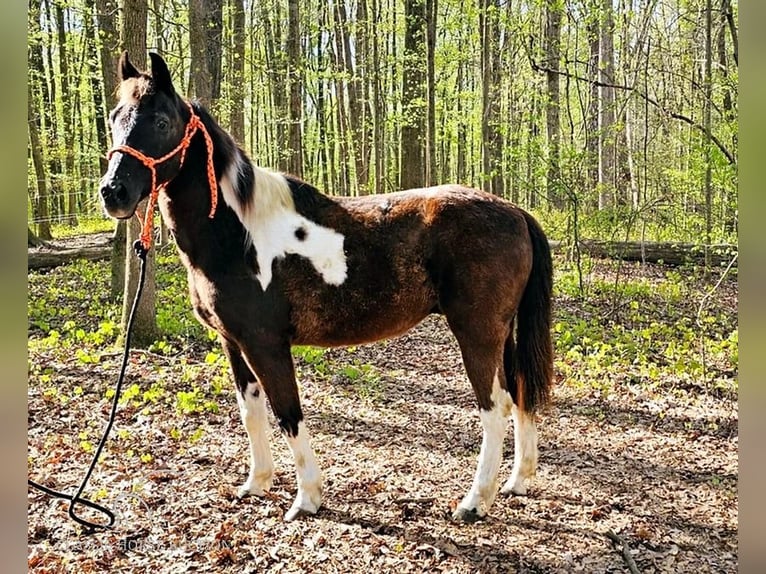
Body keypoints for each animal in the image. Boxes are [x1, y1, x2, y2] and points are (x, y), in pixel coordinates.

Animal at [102, 51, 556, 524]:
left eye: (160, 121)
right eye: (115, 117)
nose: (113, 192)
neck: (239, 234)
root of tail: (515, 212)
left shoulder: (265, 344)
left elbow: (288, 413)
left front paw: (307, 499)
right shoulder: (233, 342)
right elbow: (251, 411)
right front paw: (256, 483)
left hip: (477, 334)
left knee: (494, 406)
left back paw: (474, 502)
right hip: (503, 334)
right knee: (520, 392)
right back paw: (516, 482)